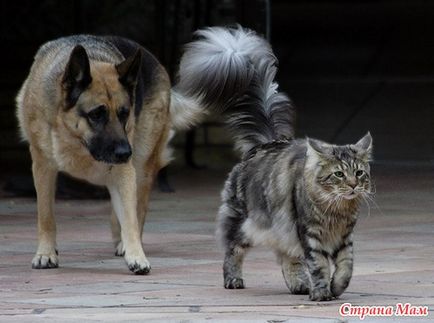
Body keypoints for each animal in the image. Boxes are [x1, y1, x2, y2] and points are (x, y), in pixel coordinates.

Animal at [15, 36, 202, 276]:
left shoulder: (124, 170)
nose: (125, 153)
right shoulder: (43, 167)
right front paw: (46, 253)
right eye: (96, 114)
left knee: (138, 207)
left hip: (141, 167)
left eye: (124, 113)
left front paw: (136, 256)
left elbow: (130, 218)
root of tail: (153, 60)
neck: (76, 141)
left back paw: (124, 244)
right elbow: (45, 215)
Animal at [175, 26, 372, 302]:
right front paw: (322, 293)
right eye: (339, 175)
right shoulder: (310, 236)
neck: (336, 211)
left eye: (359, 173)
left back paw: (299, 285)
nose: (354, 185)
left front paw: (336, 288)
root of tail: (266, 143)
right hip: (245, 224)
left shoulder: (344, 238)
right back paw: (233, 280)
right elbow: (320, 266)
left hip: (280, 227)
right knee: (232, 251)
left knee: (286, 257)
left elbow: (346, 267)